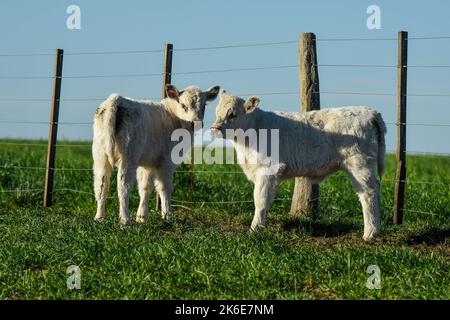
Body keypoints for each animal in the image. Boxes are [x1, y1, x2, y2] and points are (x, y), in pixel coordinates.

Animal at [92, 85, 220, 225]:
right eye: (183, 105)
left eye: (204, 104)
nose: (196, 122)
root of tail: (116, 99)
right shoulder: (166, 162)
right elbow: (165, 188)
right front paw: (168, 215)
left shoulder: (148, 164)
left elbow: (145, 188)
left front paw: (141, 217)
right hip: (129, 156)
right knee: (123, 186)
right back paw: (125, 220)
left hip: (100, 156)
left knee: (101, 185)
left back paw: (99, 218)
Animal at [211, 91, 386, 241]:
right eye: (216, 112)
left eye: (232, 114)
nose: (215, 129)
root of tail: (370, 111)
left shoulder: (267, 170)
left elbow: (260, 200)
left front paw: (255, 229)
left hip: (359, 164)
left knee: (368, 192)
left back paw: (370, 233)